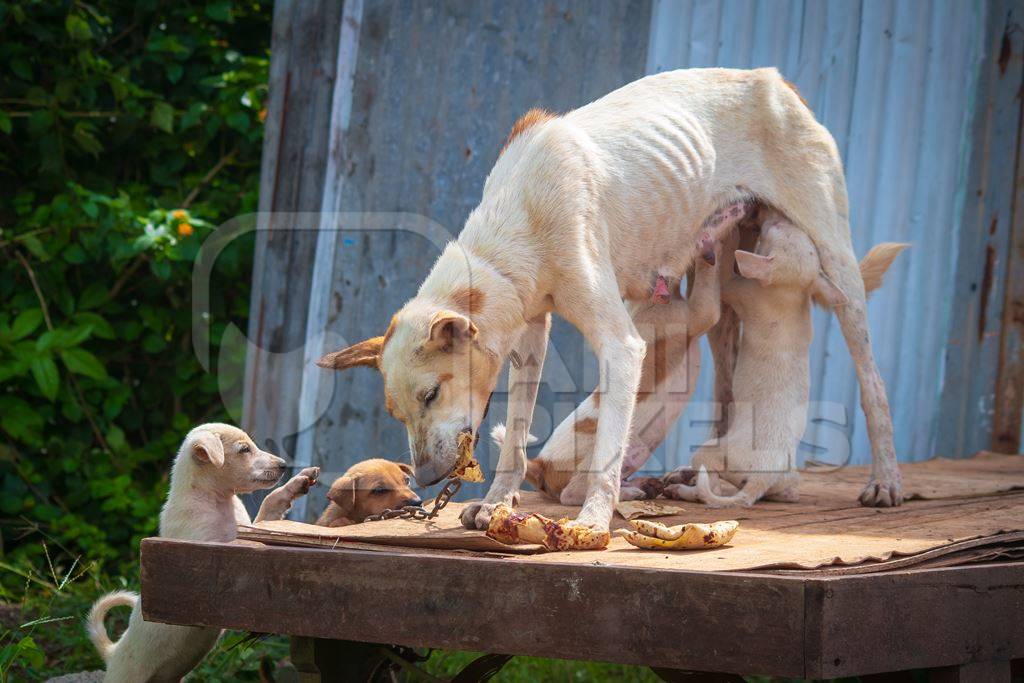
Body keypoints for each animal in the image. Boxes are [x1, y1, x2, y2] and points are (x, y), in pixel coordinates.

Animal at [86, 423, 317, 679]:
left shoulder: (252, 525)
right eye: (244, 449)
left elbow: (269, 505)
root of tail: (113, 652)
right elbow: (236, 543)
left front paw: (296, 484)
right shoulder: (202, 548)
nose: (284, 465)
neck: (218, 501)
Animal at [667, 214, 909, 507]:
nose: (775, 214)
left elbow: (724, 273)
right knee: (781, 490)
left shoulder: (739, 288)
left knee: (710, 486)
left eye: (776, 228)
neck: (790, 291)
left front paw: (721, 238)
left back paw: (682, 490)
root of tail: (763, 476)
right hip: (787, 476)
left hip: (710, 453)